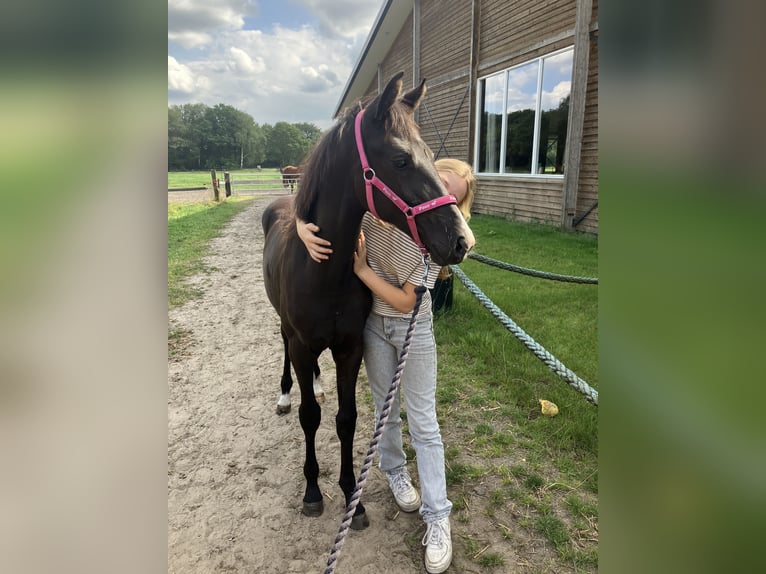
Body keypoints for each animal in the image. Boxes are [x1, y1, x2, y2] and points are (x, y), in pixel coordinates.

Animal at [262, 74, 474, 532]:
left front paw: (352, 501)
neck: (324, 271)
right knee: (283, 349)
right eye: (400, 159)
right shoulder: (304, 346)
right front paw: (312, 492)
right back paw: (285, 394)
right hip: (286, 330)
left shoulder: (350, 348)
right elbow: (310, 417)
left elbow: (346, 419)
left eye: (431, 156)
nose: (462, 241)